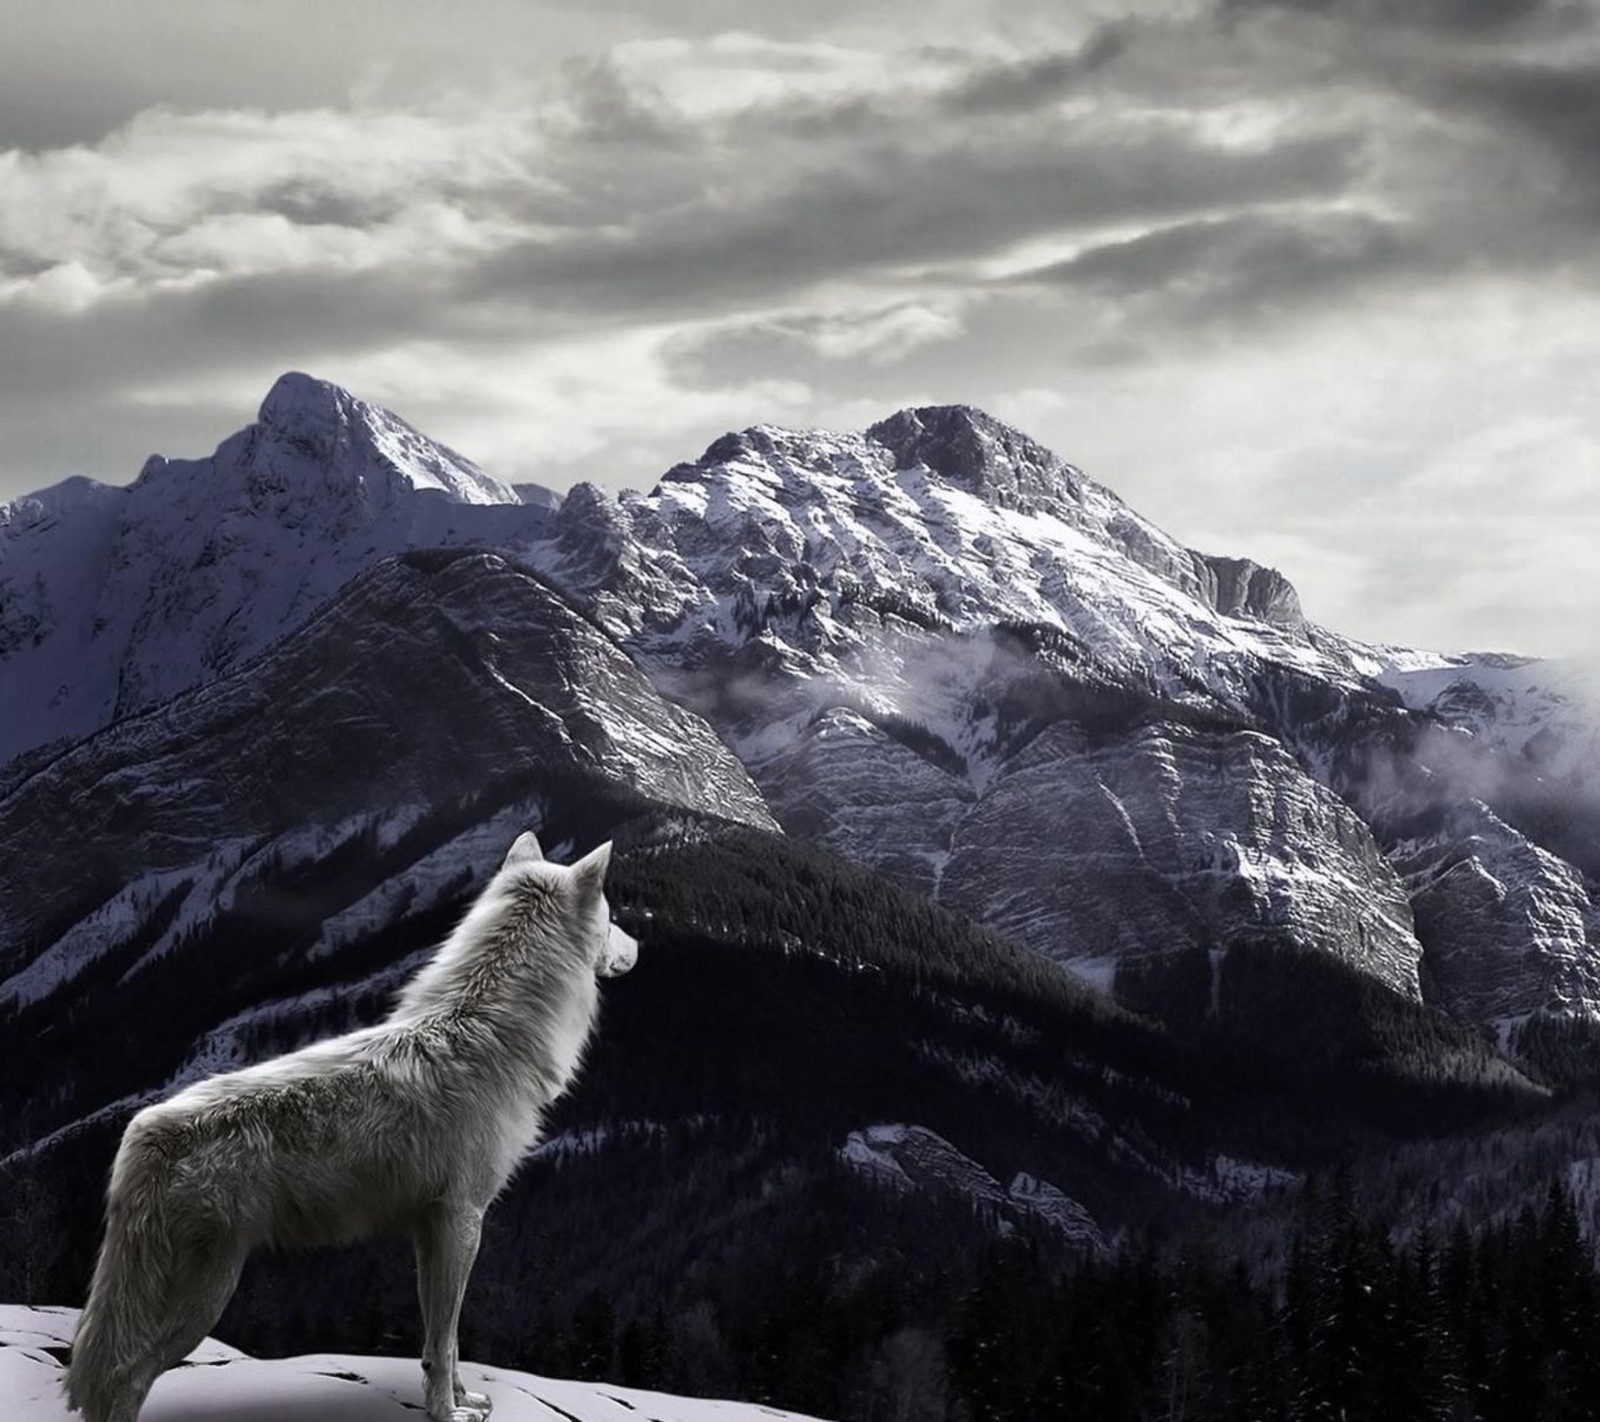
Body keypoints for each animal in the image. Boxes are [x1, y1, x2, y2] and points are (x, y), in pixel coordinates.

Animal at [64, 831, 636, 1420]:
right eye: (613, 917)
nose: (637, 946)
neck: (488, 1033)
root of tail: (145, 1131)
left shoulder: (432, 1230)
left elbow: (443, 1341)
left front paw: (461, 1398)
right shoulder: (463, 1220)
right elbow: (445, 1339)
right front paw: (447, 1412)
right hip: (203, 1299)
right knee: (123, 1379)